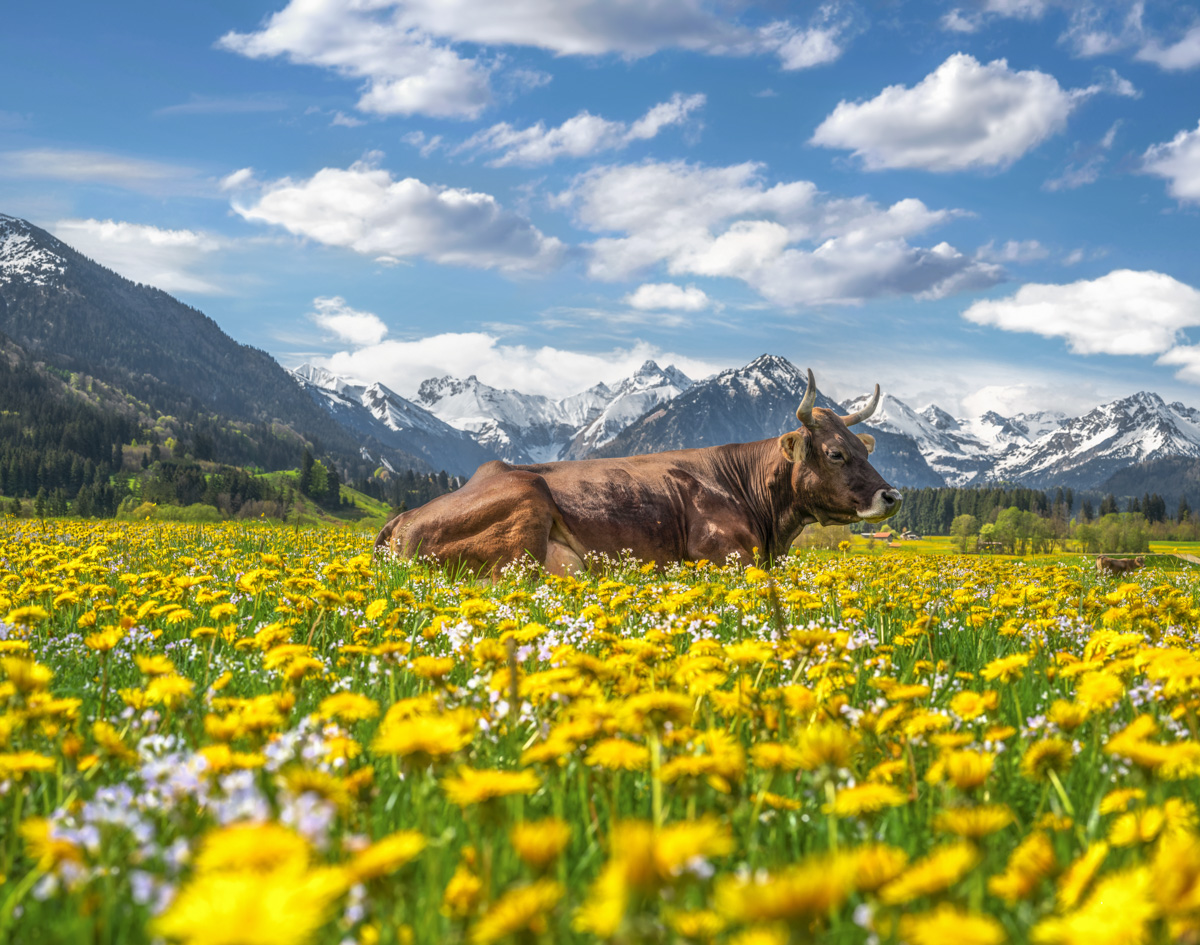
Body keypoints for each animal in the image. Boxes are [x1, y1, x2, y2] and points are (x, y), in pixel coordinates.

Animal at [374, 369, 901, 576]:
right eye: (835, 453)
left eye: (863, 448)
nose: (891, 497)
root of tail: (402, 520)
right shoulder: (722, 555)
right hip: (527, 504)